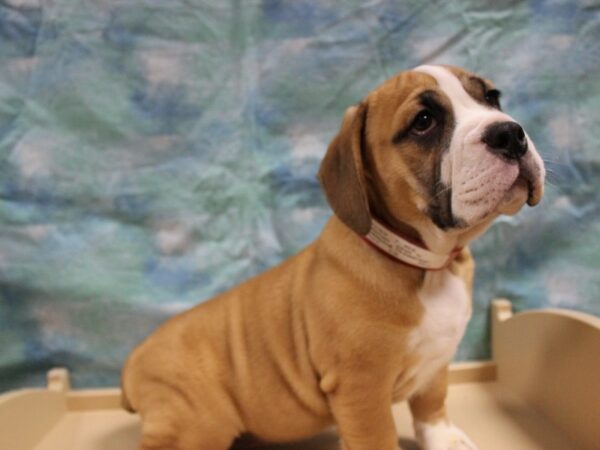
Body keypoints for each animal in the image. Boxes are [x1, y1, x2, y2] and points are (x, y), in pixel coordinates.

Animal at [122, 64, 544, 450]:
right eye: (423, 122)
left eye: (492, 98)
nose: (508, 133)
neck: (425, 264)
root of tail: (132, 365)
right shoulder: (361, 387)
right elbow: (378, 438)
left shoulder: (436, 361)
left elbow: (431, 406)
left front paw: (445, 440)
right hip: (199, 422)